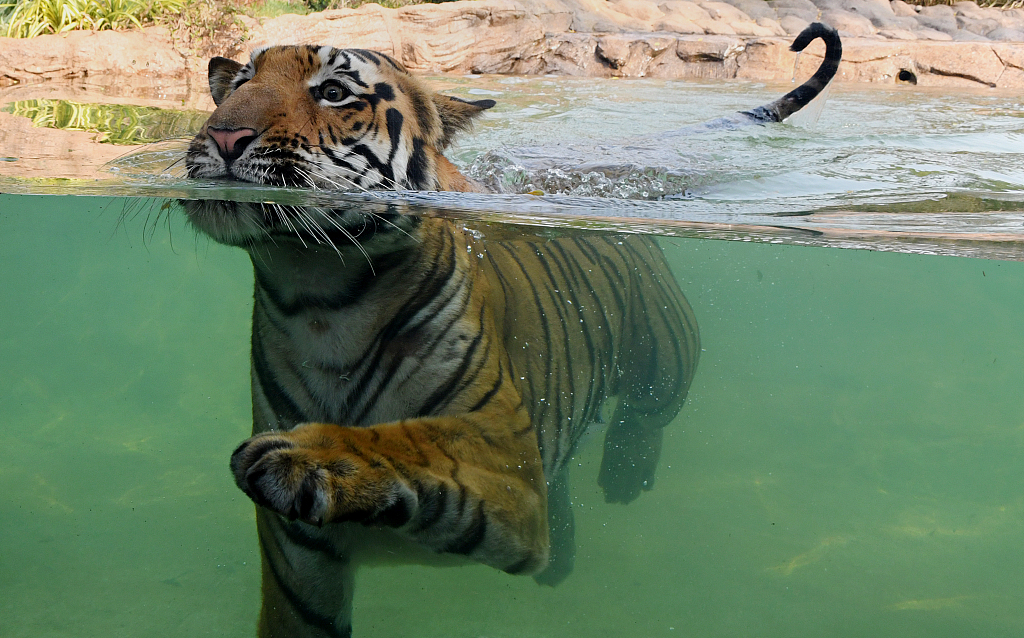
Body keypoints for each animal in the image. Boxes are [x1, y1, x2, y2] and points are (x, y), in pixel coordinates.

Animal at [182, 21, 839, 638]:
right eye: (238, 85)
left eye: (334, 92)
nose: (223, 135)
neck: (320, 296)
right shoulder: (300, 566)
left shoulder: (508, 459)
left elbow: (412, 440)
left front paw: (303, 457)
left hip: (667, 350)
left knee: (649, 412)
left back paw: (626, 470)